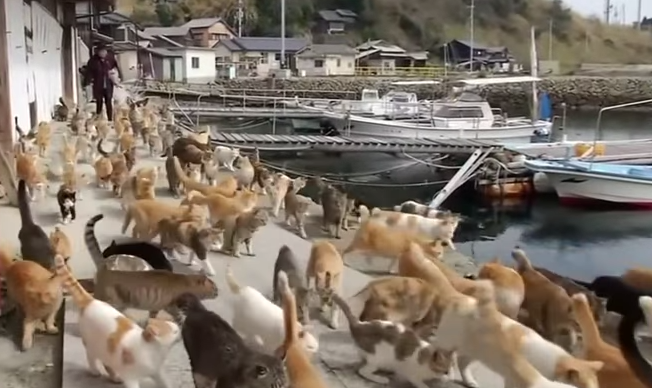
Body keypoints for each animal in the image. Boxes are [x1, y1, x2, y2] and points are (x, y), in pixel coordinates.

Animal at [52, 255, 181, 388]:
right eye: (174, 331)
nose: (179, 328)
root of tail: (91, 301)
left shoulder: (157, 372)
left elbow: (165, 382)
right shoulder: (131, 378)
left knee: (107, 364)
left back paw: (114, 377)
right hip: (93, 345)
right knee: (91, 357)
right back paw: (95, 371)